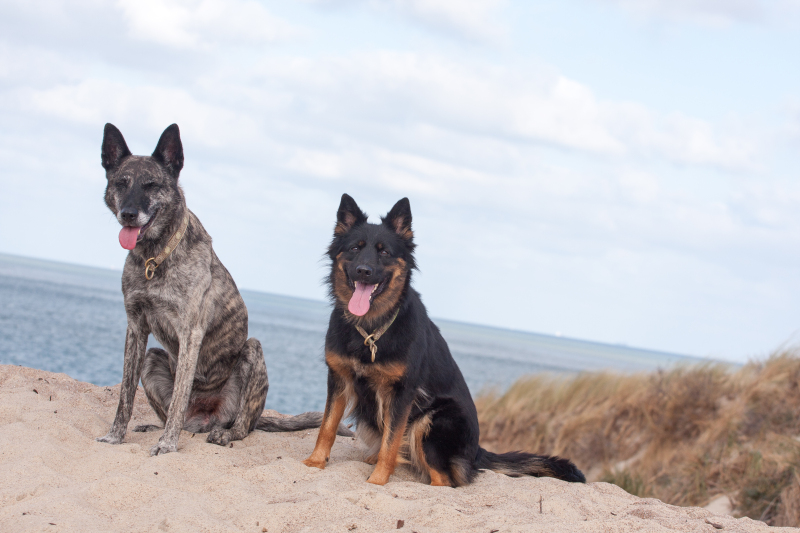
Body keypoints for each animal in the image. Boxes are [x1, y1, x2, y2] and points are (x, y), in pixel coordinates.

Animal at [96, 123, 350, 455]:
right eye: (121, 183)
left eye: (151, 185)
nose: (128, 213)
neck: (155, 256)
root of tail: (205, 418)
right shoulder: (136, 329)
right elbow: (125, 395)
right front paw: (116, 436)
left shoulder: (190, 333)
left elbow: (179, 396)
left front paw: (167, 444)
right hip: (151, 359)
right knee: (174, 413)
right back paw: (159, 427)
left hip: (252, 354)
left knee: (240, 425)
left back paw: (222, 433)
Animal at [302, 194, 585, 486]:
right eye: (355, 248)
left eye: (384, 252)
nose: (363, 271)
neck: (372, 329)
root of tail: (476, 451)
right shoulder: (338, 379)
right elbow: (327, 426)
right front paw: (315, 462)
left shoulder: (402, 395)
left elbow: (390, 444)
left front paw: (378, 481)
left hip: (432, 419)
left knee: (444, 480)